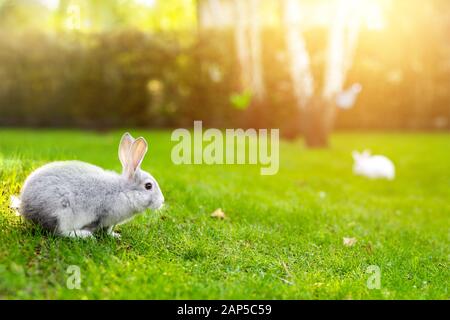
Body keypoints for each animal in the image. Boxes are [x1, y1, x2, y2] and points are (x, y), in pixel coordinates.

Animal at [18, 132, 165, 238]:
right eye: (148, 186)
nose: (162, 201)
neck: (123, 191)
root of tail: (26, 209)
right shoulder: (103, 216)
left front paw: (115, 235)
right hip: (62, 214)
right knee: (60, 232)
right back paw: (84, 235)